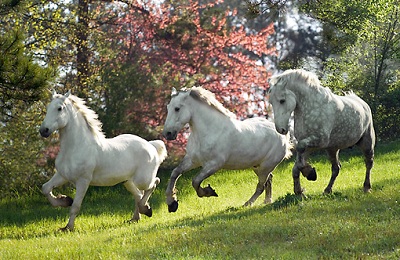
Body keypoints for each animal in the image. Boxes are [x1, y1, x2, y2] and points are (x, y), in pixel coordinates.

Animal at [39, 90, 167, 231]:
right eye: (47, 108)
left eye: (59, 108)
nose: (43, 131)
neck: (75, 147)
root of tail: (151, 145)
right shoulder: (62, 175)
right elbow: (45, 188)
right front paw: (65, 200)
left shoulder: (83, 181)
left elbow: (75, 206)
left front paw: (68, 227)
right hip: (128, 181)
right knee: (138, 194)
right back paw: (136, 217)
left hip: (142, 180)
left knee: (154, 183)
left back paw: (145, 209)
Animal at [162, 86, 290, 212]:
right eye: (168, 107)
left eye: (177, 108)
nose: (167, 133)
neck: (209, 131)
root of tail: (283, 136)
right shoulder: (192, 161)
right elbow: (175, 173)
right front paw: (172, 203)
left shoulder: (214, 164)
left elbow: (195, 181)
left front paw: (209, 192)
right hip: (258, 166)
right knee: (269, 180)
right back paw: (267, 201)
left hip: (265, 167)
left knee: (261, 186)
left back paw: (247, 204)